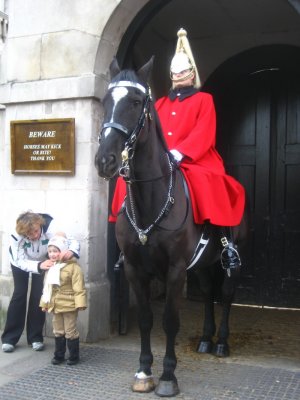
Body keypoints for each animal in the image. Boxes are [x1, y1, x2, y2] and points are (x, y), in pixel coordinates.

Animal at [95, 57, 247, 398]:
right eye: (106, 101)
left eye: (135, 102)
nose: (105, 161)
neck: (150, 198)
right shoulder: (135, 269)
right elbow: (147, 319)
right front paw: (143, 371)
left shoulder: (175, 270)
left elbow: (169, 321)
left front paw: (167, 376)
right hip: (202, 264)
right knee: (208, 293)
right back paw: (205, 339)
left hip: (228, 263)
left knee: (226, 294)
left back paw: (221, 343)